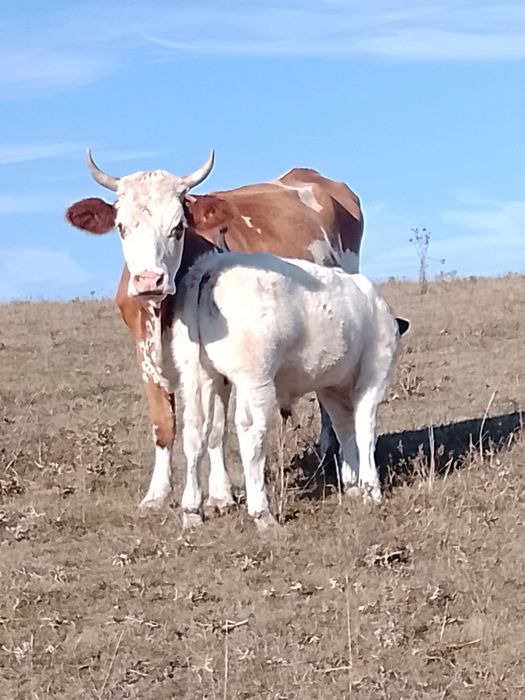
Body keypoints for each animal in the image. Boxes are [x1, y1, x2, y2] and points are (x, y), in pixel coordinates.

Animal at [65, 150, 364, 511]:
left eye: (178, 228)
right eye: (122, 228)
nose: (150, 280)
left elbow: (216, 429)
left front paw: (220, 494)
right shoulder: (145, 355)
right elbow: (163, 427)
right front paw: (156, 495)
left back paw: (329, 450)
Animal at [170, 250, 406, 530]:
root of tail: (212, 266)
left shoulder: (330, 388)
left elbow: (345, 430)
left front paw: (352, 485)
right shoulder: (374, 374)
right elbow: (364, 431)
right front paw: (371, 490)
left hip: (196, 373)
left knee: (195, 431)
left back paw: (191, 510)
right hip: (255, 378)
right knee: (251, 434)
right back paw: (261, 513)